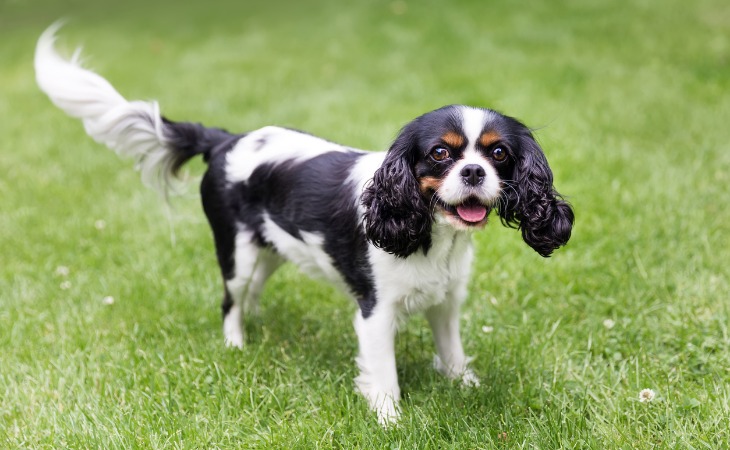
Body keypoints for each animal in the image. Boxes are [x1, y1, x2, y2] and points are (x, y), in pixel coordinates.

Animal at [35, 24, 576, 426]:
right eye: (441, 154)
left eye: (498, 153)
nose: (474, 172)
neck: (431, 233)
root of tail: (226, 140)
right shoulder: (375, 311)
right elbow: (384, 375)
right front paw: (391, 421)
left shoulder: (446, 301)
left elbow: (454, 352)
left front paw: (465, 386)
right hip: (237, 253)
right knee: (231, 300)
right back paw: (237, 346)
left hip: (272, 251)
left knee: (252, 292)